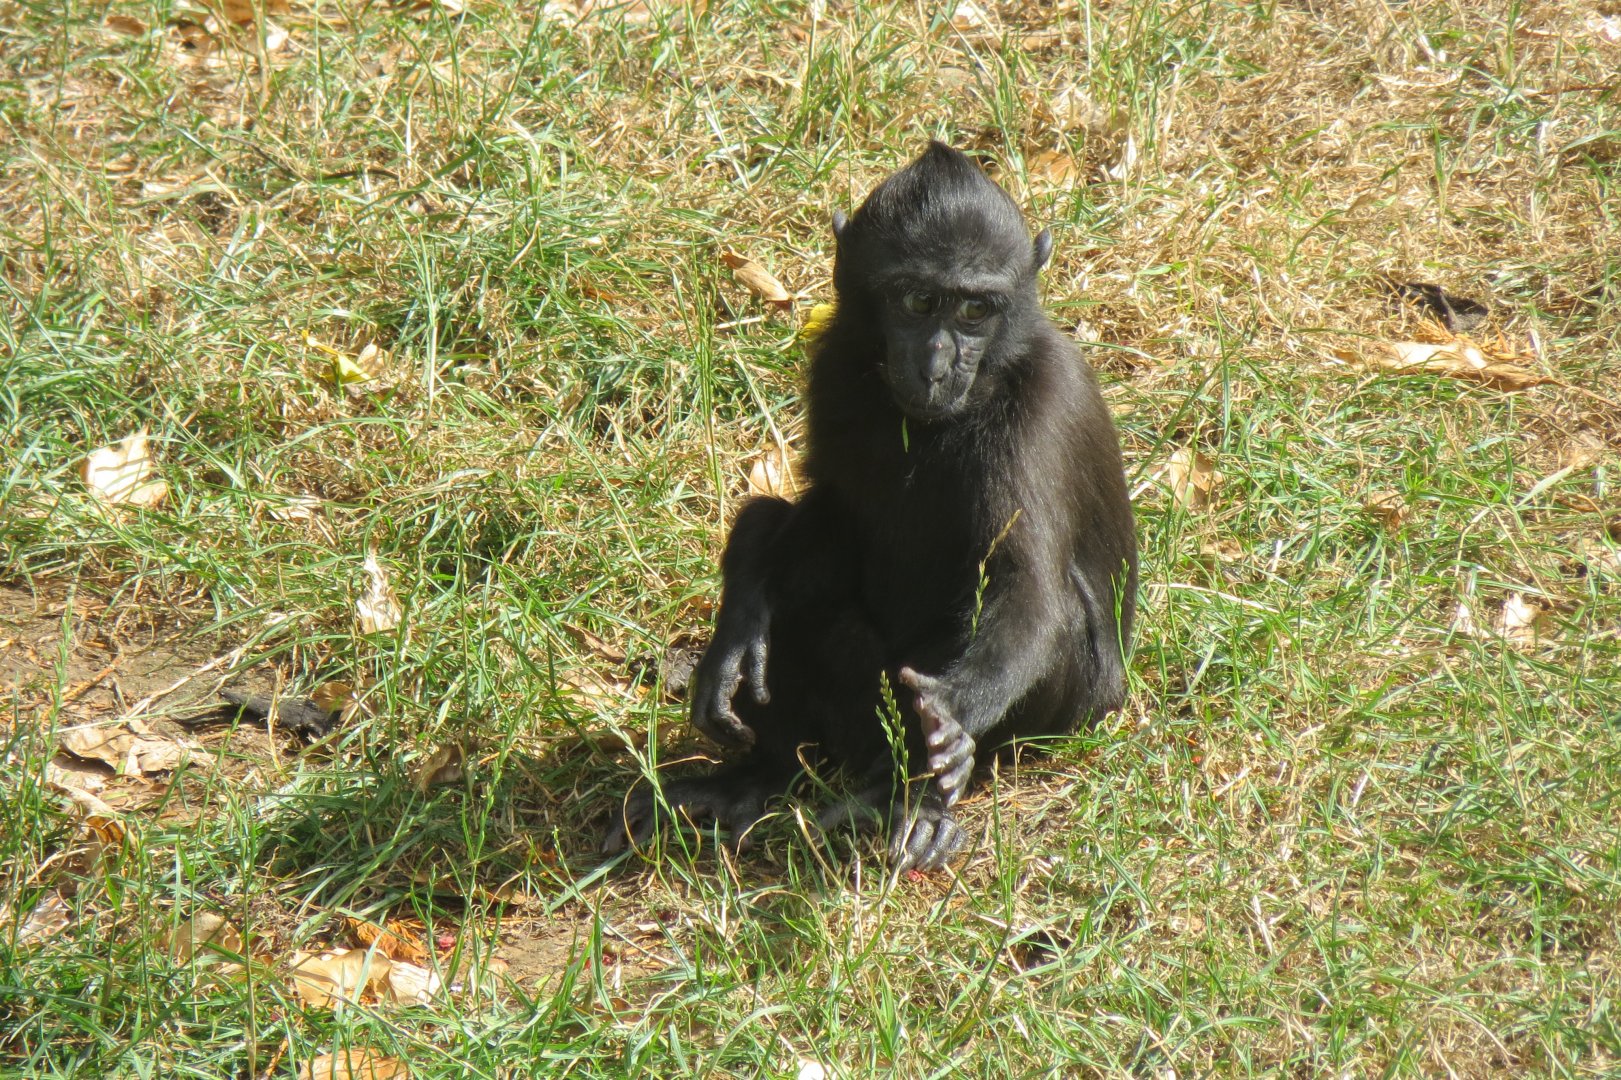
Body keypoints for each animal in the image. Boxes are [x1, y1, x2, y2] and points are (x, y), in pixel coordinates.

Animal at [604, 142, 1137, 871]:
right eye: (918, 300)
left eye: (976, 312)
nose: (939, 366)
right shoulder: (833, 362)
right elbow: (815, 510)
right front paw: (739, 627)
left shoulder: (1043, 406)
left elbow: (1028, 588)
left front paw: (952, 717)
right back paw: (758, 774)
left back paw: (914, 800)